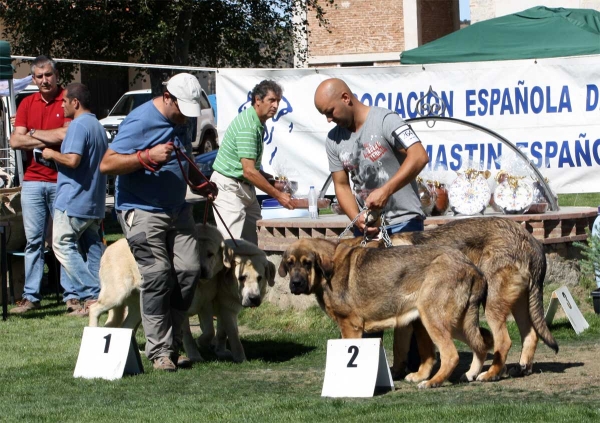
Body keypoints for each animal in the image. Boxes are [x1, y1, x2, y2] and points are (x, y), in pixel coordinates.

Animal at [278, 240, 494, 390]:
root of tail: (471, 266)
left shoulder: (349, 325)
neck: (328, 271)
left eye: (307, 263)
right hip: (453, 322)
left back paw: (433, 382)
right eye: (289, 264)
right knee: (480, 343)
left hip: (435, 318)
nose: (295, 284)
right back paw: (467, 374)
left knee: (452, 354)